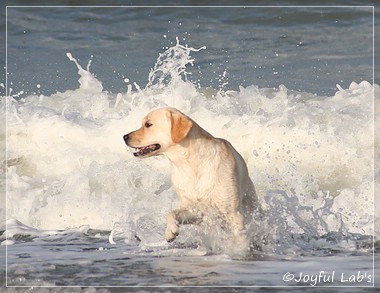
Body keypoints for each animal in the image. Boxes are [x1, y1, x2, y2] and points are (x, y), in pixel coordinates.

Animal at [123, 106, 256, 244]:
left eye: (148, 124)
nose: (124, 137)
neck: (189, 164)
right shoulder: (195, 210)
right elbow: (171, 213)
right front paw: (170, 230)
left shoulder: (233, 213)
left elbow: (240, 237)